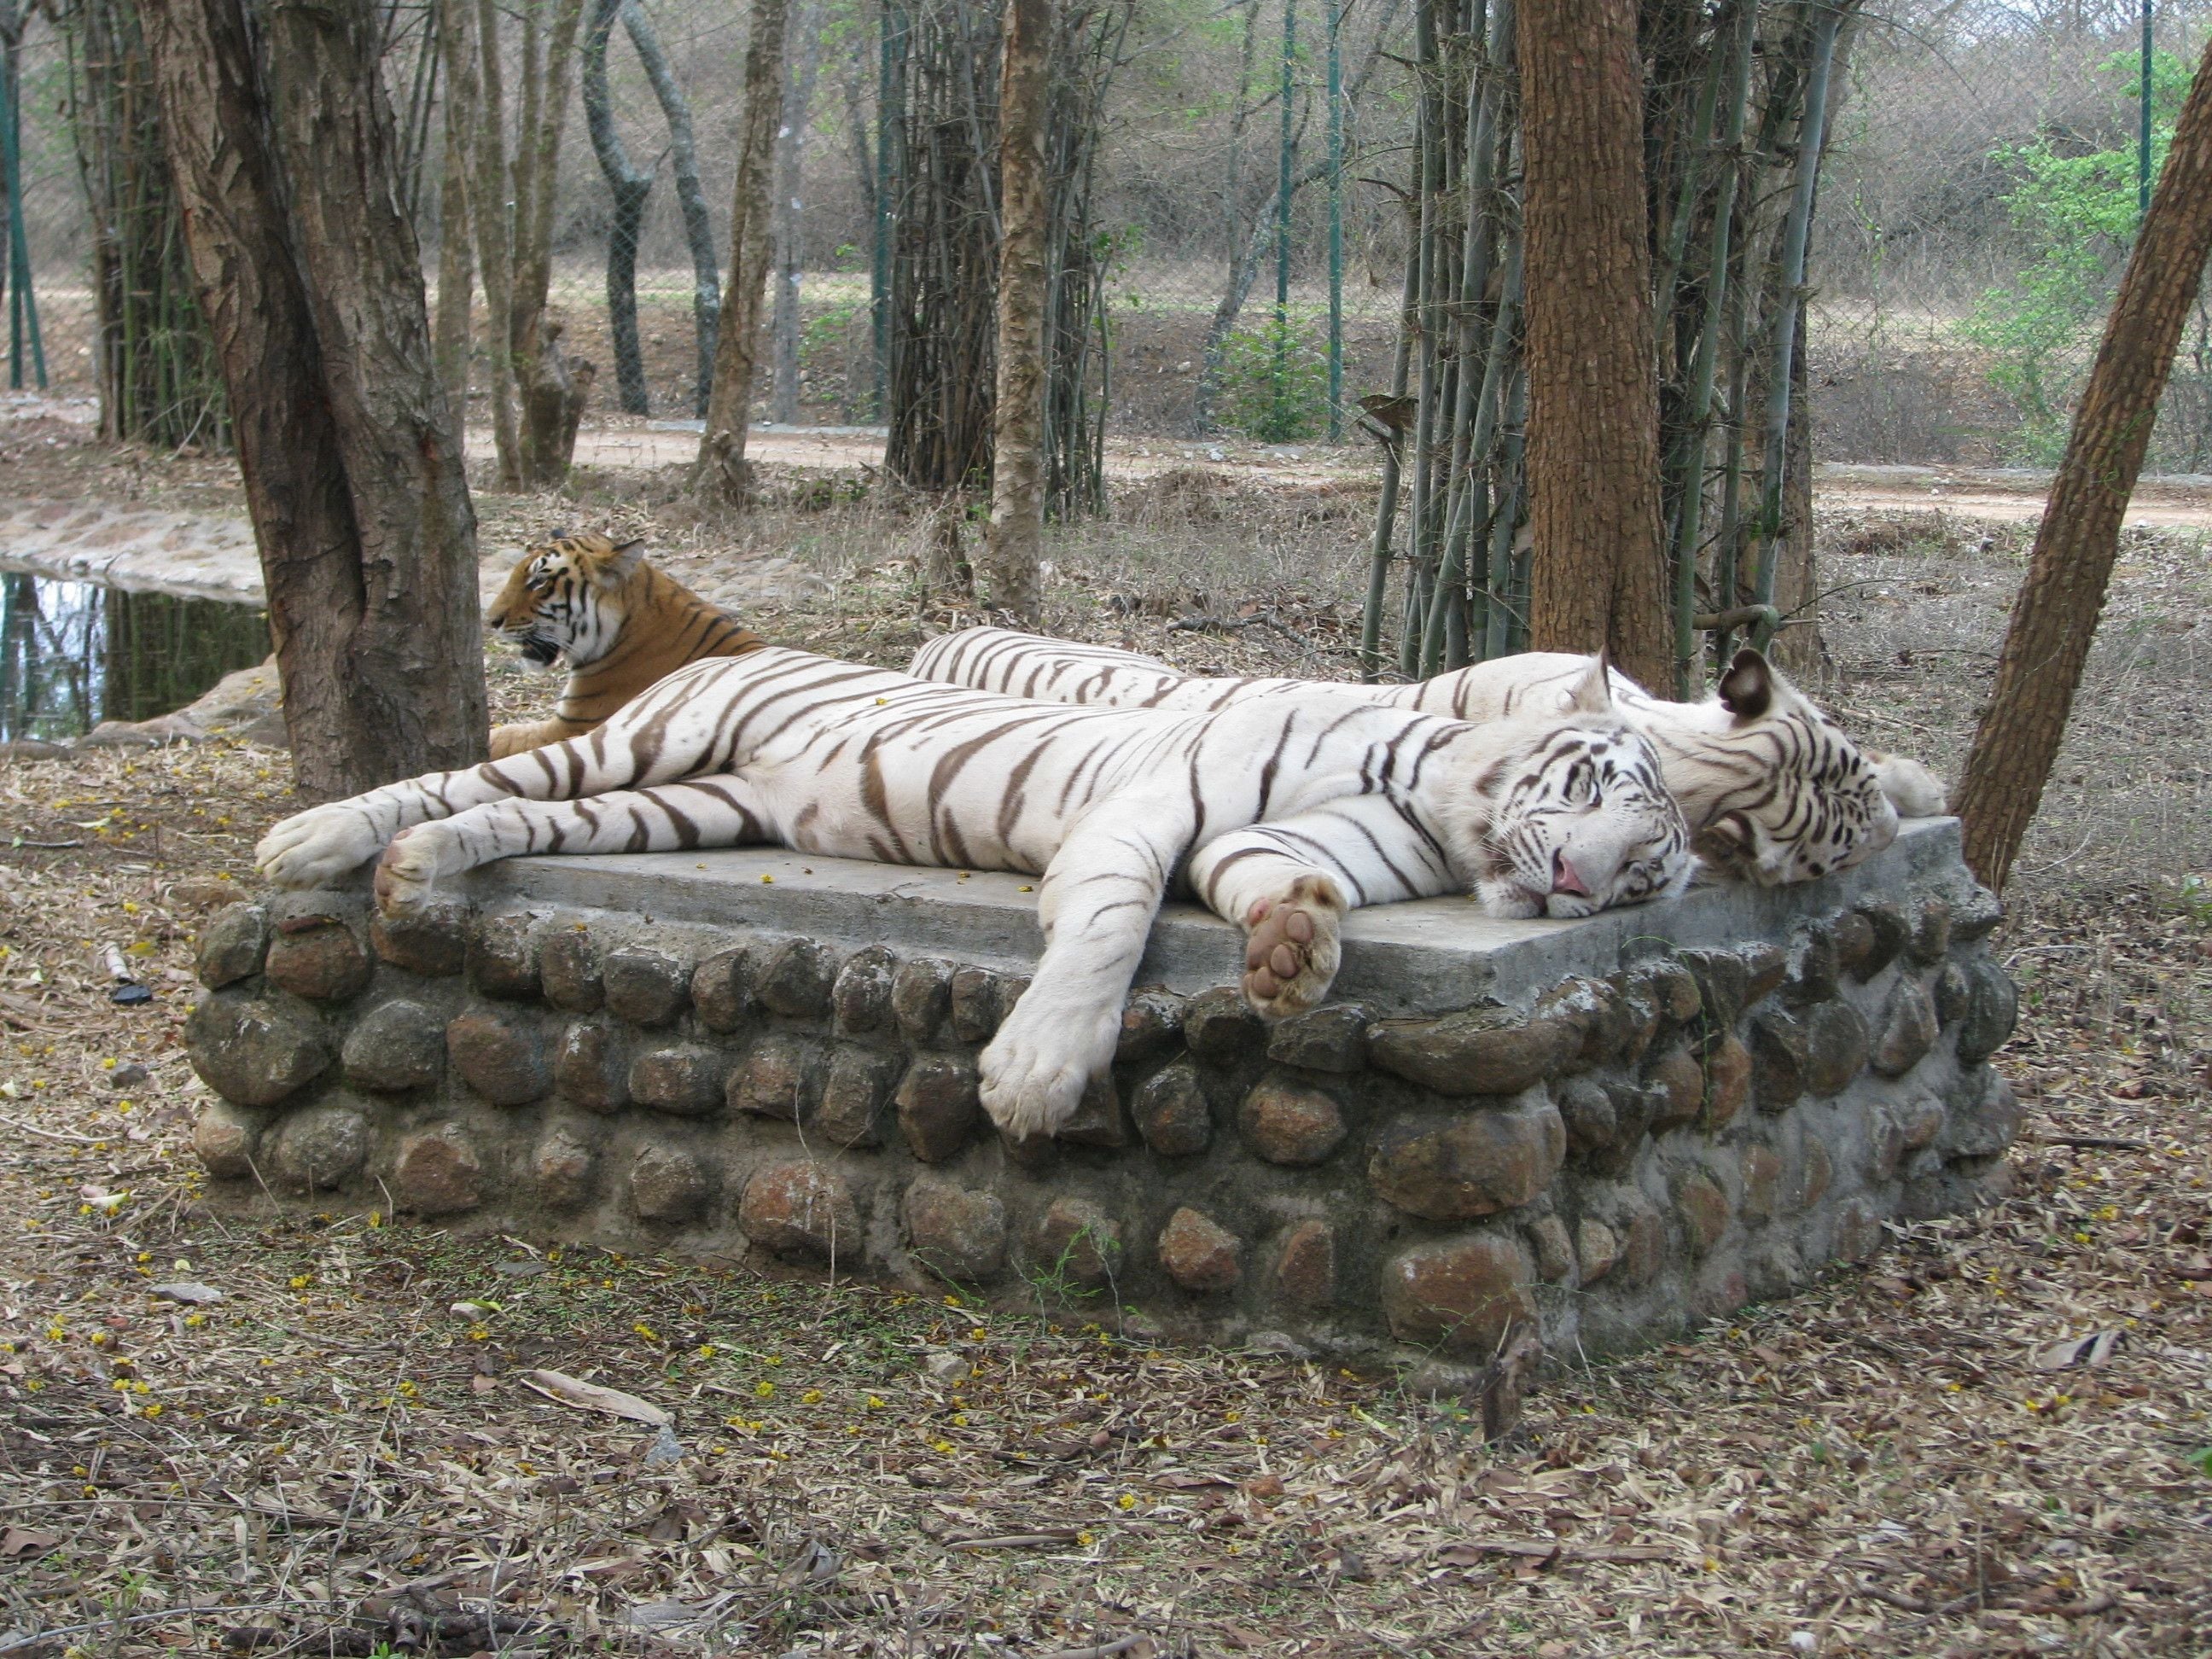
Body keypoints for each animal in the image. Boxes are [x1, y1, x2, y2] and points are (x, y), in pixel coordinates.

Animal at [257, 648, 1691, 1140]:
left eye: (1645, 876)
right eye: (1596, 785)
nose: (1575, 885)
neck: (1434, 807)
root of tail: (722, 651)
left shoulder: (1280, 843)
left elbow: (1283, 883)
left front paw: (1295, 954)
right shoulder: (1143, 819)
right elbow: (1108, 935)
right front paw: (1037, 1079)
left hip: (686, 808)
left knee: (504, 816)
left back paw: (417, 871)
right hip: (638, 747)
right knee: (454, 775)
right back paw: (310, 841)